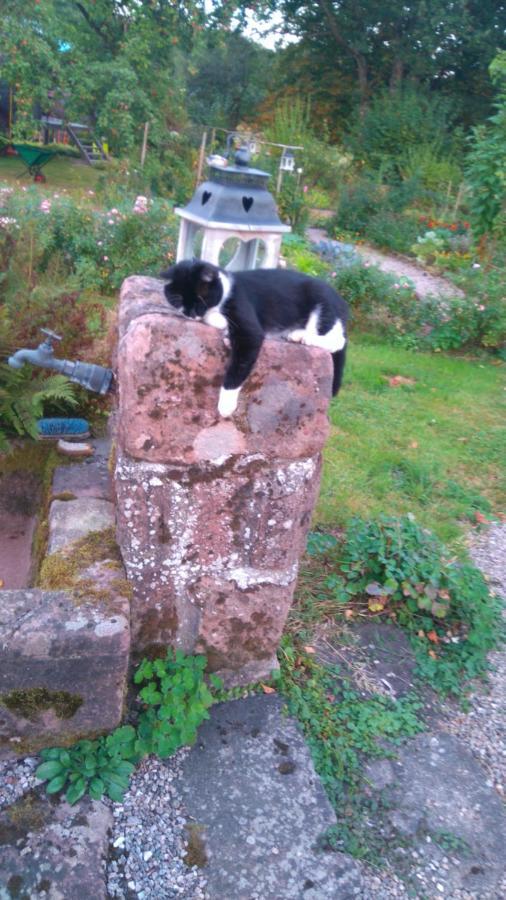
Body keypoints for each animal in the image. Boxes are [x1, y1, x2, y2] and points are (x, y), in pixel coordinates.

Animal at [161, 256, 348, 418]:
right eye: (179, 300)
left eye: (201, 299)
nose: (191, 314)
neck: (227, 289)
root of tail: (340, 301)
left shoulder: (244, 315)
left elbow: (242, 356)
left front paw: (226, 405)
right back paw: (295, 334)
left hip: (322, 301)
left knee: (338, 340)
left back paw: (305, 337)